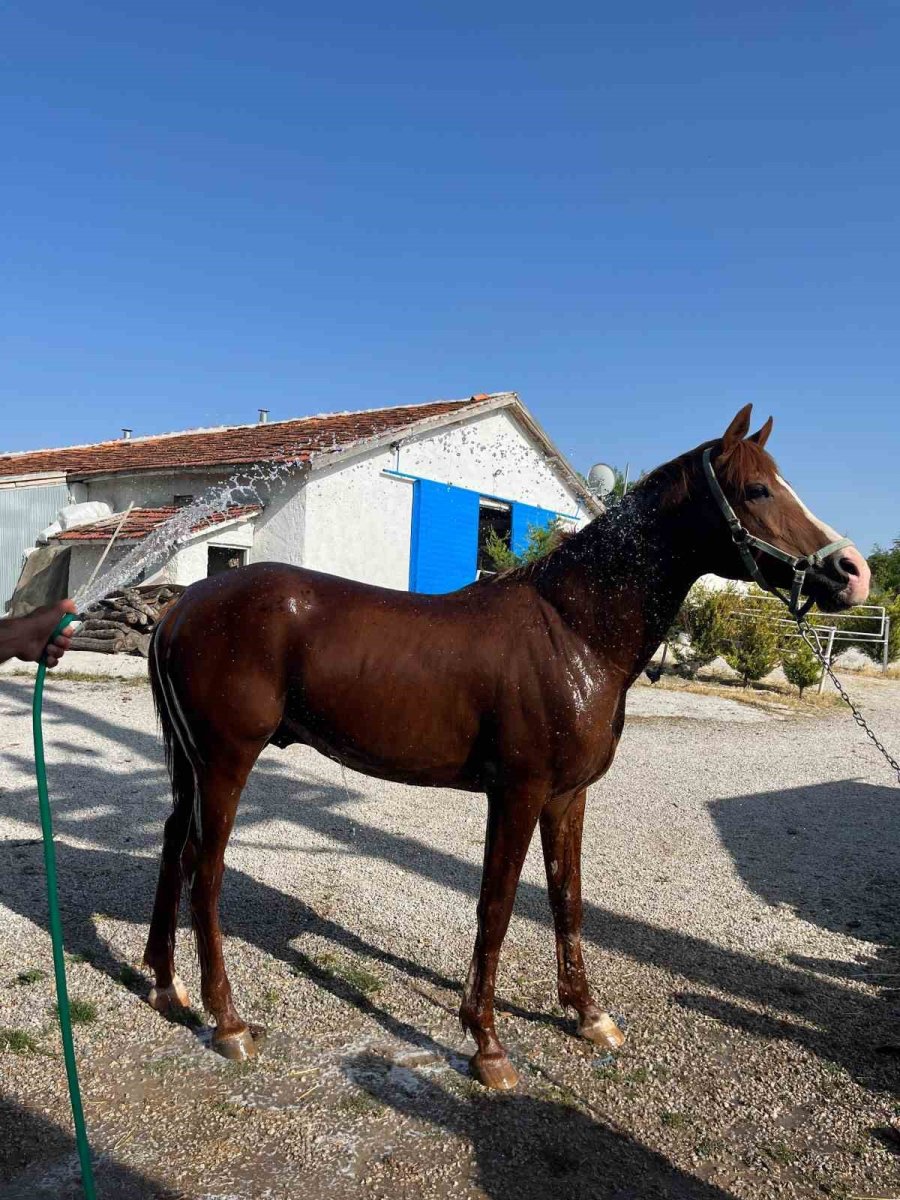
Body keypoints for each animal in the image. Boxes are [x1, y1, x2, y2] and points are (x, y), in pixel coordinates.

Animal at [142, 408, 873, 1094]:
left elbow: (567, 900)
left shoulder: (568, 797)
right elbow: (495, 906)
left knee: (173, 851)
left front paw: (588, 1016)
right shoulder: (517, 794)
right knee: (206, 871)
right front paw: (487, 1045)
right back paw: (228, 1023)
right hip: (226, 763)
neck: (575, 631)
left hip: (190, 766)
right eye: (757, 489)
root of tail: (180, 608)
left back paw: (165, 986)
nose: (853, 572)